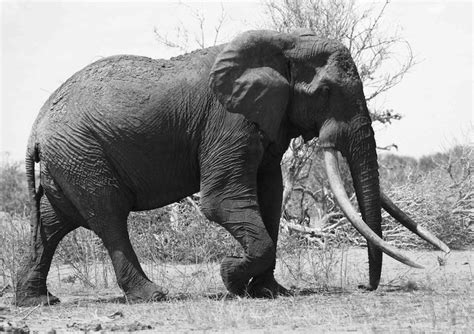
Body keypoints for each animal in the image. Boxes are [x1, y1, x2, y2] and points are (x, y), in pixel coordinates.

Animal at [16, 30, 450, 306]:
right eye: (326, 92)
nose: (364, 287)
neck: (284, 42)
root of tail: (35, 129)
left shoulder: (266, 119)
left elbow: (270, 196)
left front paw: (271, 292)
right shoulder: (228, 120)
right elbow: (222, 201)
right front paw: (229, 275)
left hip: (68, 159)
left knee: (55, 220)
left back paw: (38, 301)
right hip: (81, 154)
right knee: (108, 216)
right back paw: (152, 296)